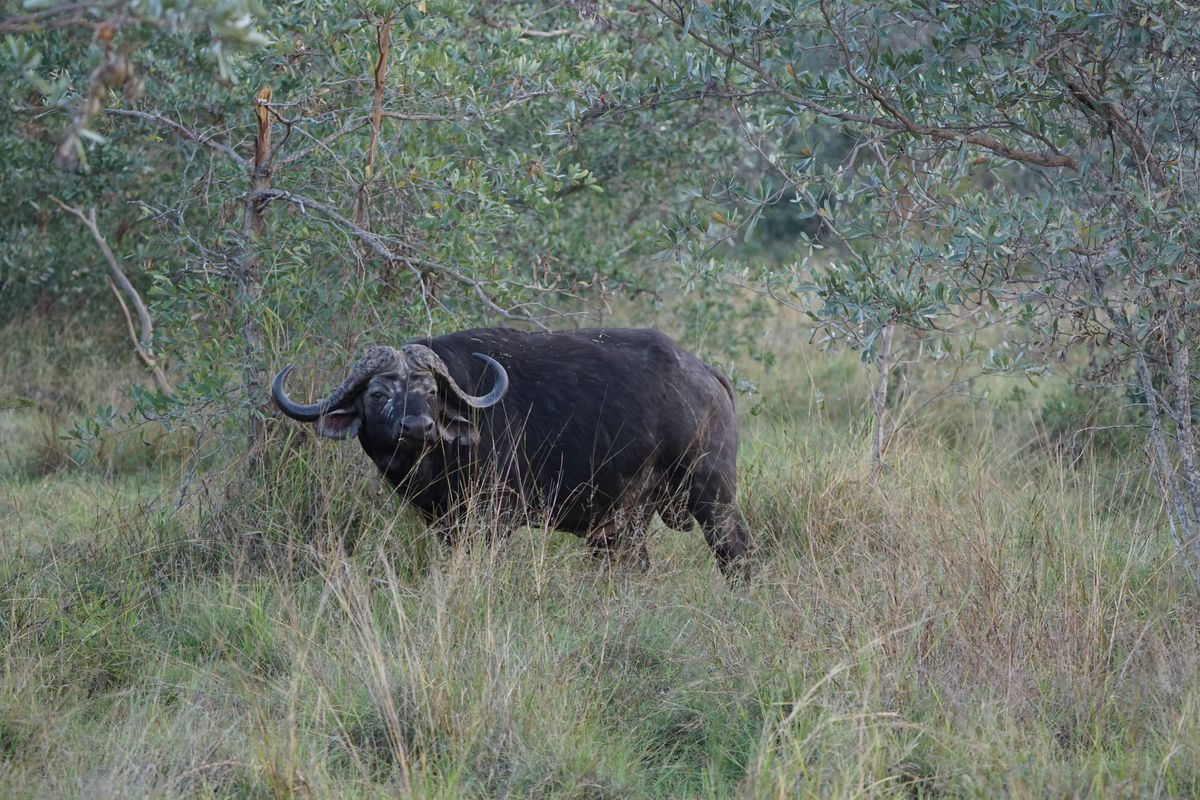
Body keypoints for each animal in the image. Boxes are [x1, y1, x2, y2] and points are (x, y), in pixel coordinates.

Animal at [271, 327, 749, 577]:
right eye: (377, 393)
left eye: (430, 391)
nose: (418, 427)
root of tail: (706, 374)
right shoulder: (445, 524)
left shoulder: (494, 519)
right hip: (624, 521)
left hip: (712, 495)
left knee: (736, 551)